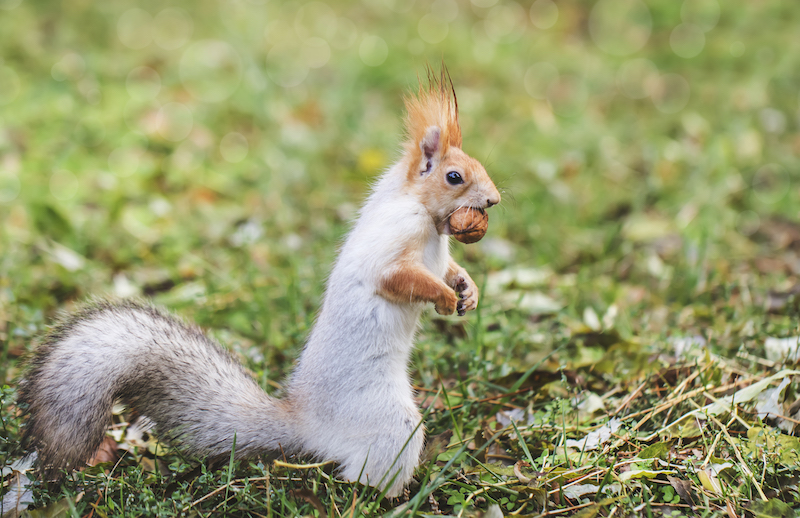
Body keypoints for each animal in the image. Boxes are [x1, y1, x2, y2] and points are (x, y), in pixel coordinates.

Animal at [20, 69, 500, 500]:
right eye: (454, 176)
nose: (494, 200)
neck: (429, 221)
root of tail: (306, 423)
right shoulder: (393, 239)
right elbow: (397, 278)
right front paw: (443, 296)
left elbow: (449, 267)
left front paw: (467, 288)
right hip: (388, 424)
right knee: (359, 476)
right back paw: (390, 497)